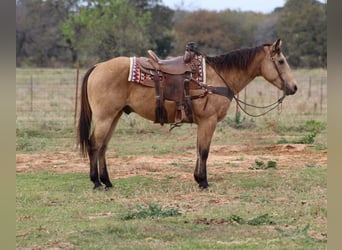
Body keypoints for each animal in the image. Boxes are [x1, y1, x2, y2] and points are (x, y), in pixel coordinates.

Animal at [77, 38, 296, 188]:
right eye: (281, 61)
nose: (294, 87)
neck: (217, 78)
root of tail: (98, 66)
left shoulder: (203, 123)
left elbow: (199, 150)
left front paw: (198, 179)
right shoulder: (209, 121)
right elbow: (205, 151)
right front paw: (204, 182)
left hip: (114, 116)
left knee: (103, 146)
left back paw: (107, 182)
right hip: (104, 117)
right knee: (95, 144)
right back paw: (96, 182)